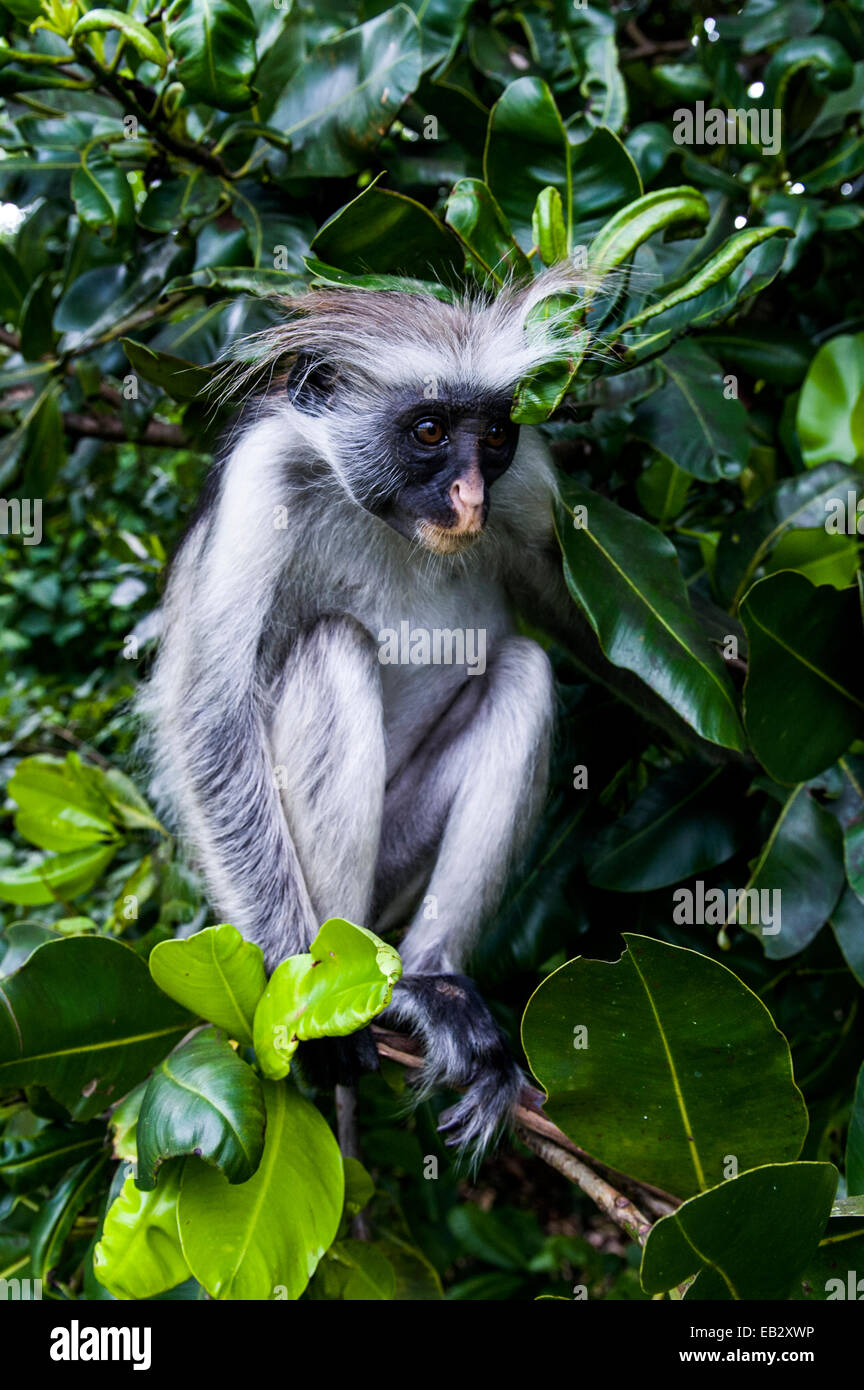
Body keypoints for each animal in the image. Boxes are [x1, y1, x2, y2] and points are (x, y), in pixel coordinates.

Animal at [140, 265, 733, 1156]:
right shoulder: (262, 476)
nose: (468, 493)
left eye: (492, 436)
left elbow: (587, 631)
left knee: (523, 667)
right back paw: (352, 991)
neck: (385, 522)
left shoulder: (528, 487)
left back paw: (431, 980)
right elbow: (209, 721)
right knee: (334, 646)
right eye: (427, 431)